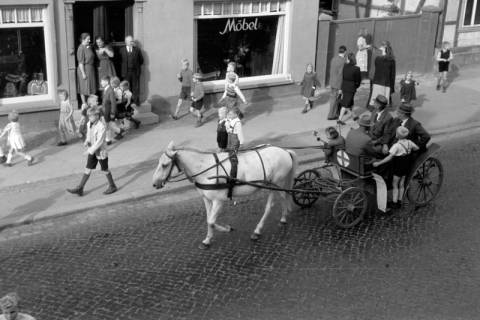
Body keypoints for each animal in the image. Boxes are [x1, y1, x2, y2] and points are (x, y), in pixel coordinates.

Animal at [153, 141, 296, 249]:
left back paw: (258, 230)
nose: (154, 183)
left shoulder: (218, 200)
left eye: (165, 165)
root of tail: (285, 151)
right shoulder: (207, 199)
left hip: (276, 183)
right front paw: (208, 239)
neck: (206, 169)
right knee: (284, 197)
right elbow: (208, 219)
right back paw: (283, 217)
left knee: (271, 205)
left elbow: (211, 221)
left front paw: (226, 229)